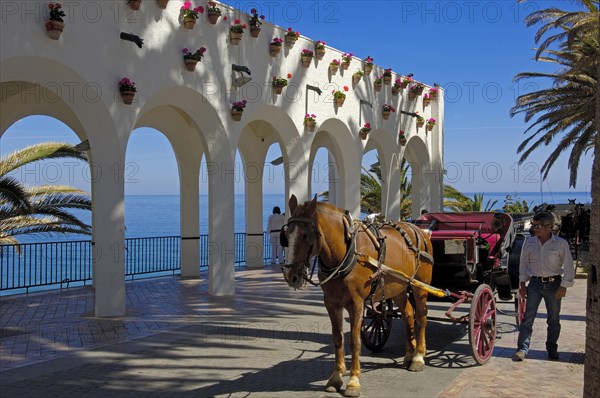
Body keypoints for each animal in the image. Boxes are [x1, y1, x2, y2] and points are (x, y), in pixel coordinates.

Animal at [280, 194, 432, 396]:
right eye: (287, 236)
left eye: (306, 235)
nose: (291, 275)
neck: (346, 252)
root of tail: (420, 231)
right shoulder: (331, 303)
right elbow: (338, 339)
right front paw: (336, 377)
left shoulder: (357, 303)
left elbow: (355, 341)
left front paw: (353, 381)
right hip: (398, 287)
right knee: (408, 314)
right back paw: (409, 355)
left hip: (419, 287)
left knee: (421, 317)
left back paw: (418, 357)